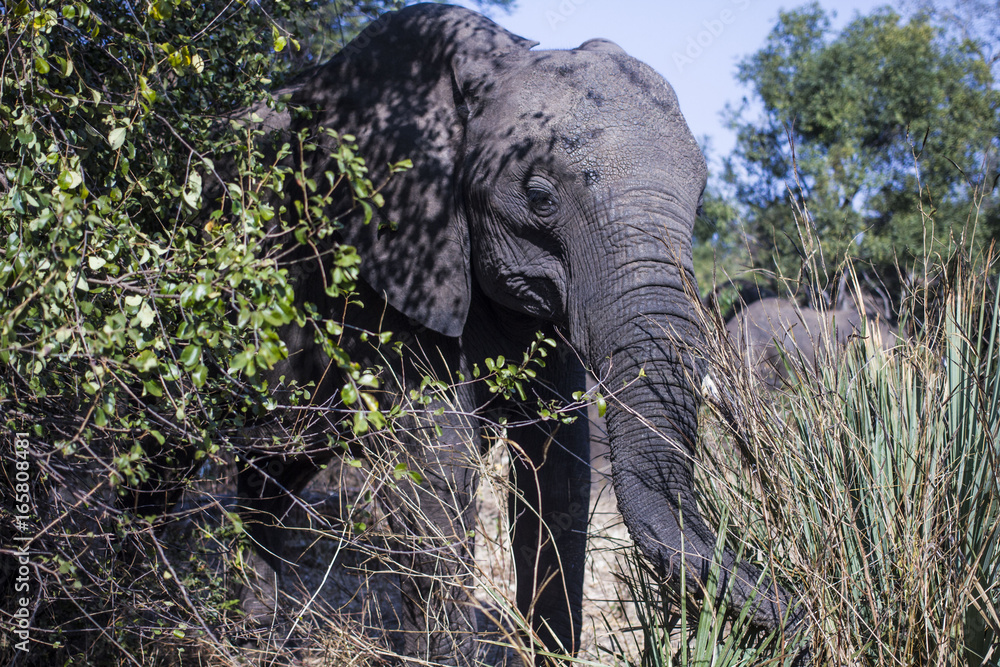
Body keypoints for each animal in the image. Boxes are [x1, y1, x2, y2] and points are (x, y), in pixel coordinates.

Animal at [134, 4, 805, 664]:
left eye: (700, 202)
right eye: (539, 197)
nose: (797, 607)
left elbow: (560, 471)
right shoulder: (389, 263)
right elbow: (438, 471)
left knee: (271, 474)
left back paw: (257, 637)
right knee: (157, 458)